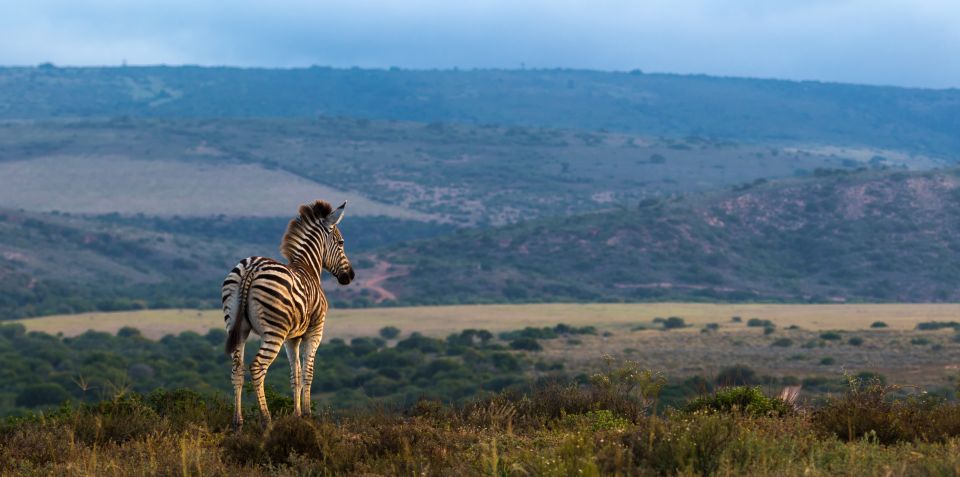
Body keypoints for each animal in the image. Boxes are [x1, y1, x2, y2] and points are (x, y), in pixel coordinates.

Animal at [221, 197, 356, 428]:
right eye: (341, 243)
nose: (350, 276)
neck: (308, 267)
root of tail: (251, 268)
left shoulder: (292, 338)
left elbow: (296, 374)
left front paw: (297, 415)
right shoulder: (314, 330)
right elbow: (308, 373)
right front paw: (308, 415)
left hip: (237, 326)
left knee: (237, 369)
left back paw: (238, 423)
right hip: (274, 331)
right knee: (257, 367)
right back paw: (266, 420)